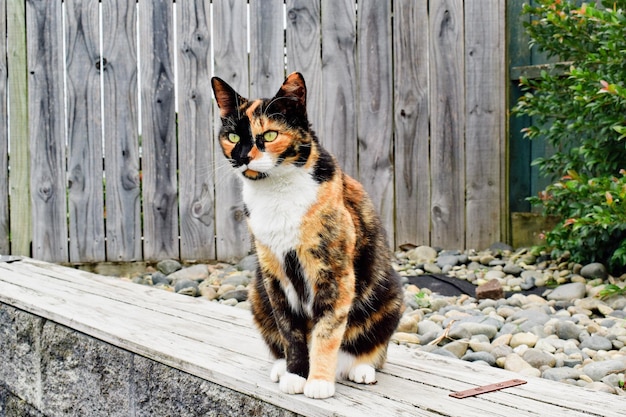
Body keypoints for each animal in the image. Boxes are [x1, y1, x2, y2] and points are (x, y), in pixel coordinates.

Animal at [212, 73, 402, 398]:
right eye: (233, 137)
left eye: (270, 135)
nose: (242, 157)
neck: (277, 193)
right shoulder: (274, 275)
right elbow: (290, 330)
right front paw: (295, 374)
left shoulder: (333, 271)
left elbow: (327, 330)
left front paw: (319, 382)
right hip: (256, 292)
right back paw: (280, 367)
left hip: (390, 292)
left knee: (371, 347)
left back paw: (360, 369)